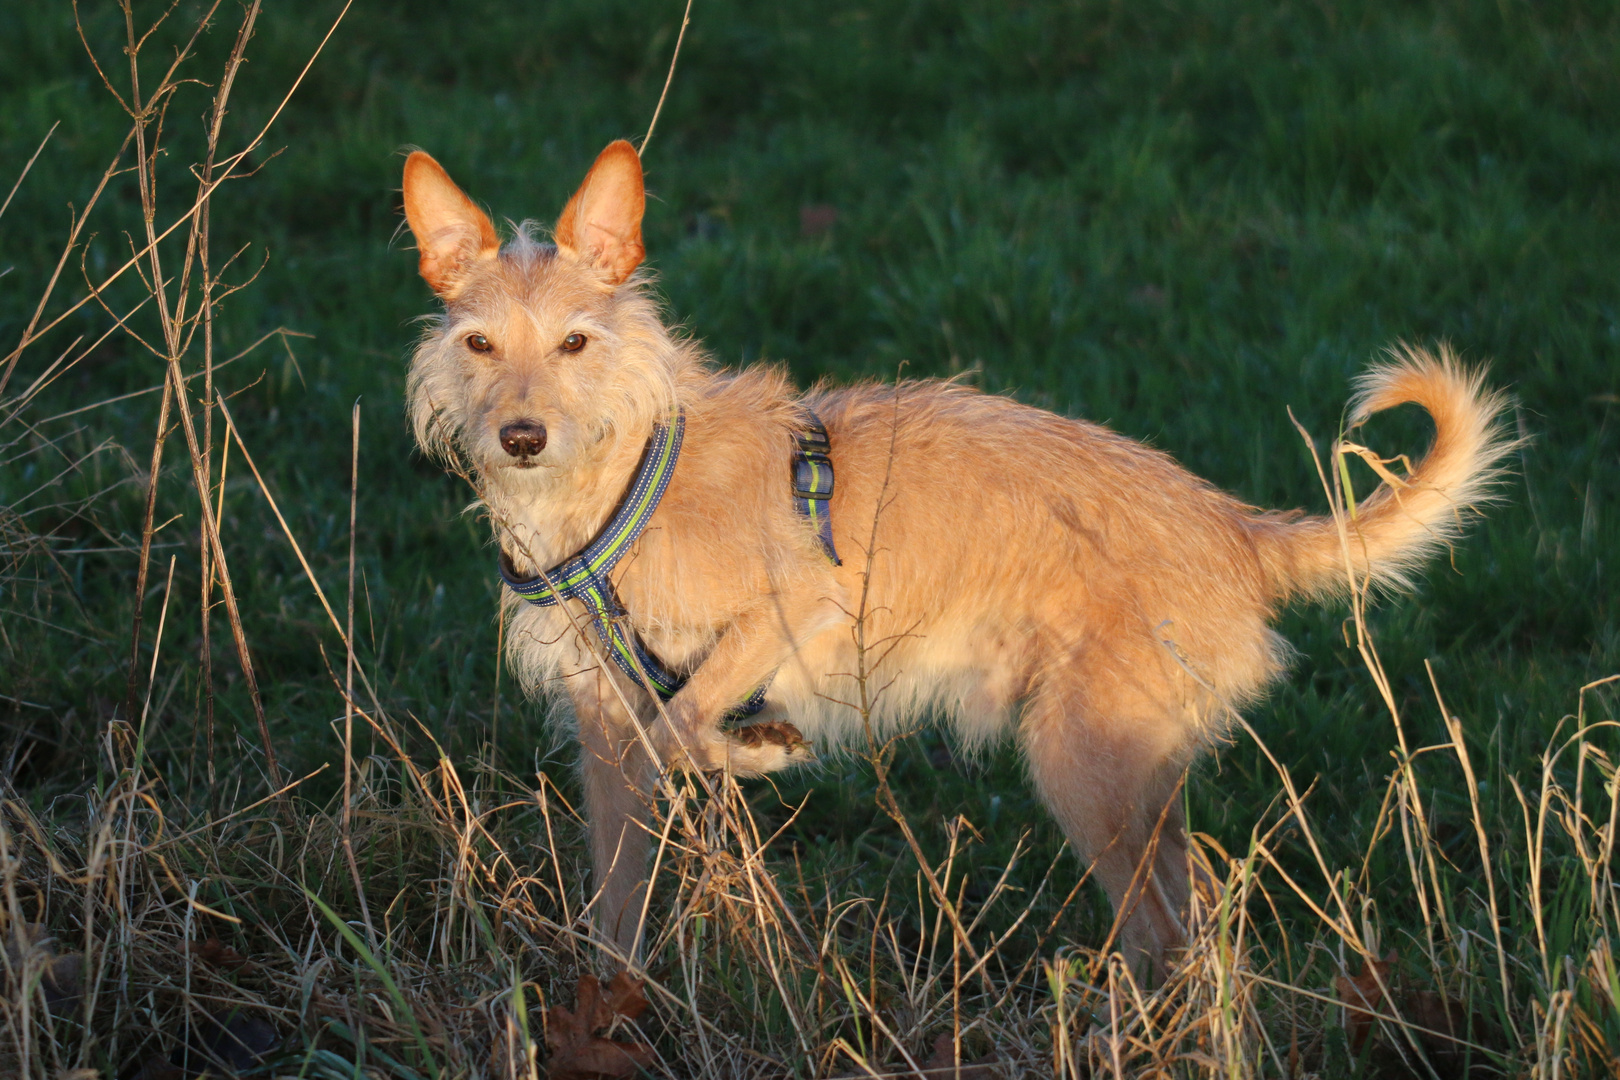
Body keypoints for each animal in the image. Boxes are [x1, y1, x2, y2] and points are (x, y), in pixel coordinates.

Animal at [398, 139, 1509, 977]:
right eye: (480, 346)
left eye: (577, 343)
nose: (521, 438)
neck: (618, 482)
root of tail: (1236, 529)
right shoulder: (601, 733)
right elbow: (621, 895)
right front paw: (614, 1005)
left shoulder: (803, 605)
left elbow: (683, 730)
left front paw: (760, 746)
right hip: (1131, 776)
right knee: (1193, 909)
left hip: (1083, 765)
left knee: (1170, 931)